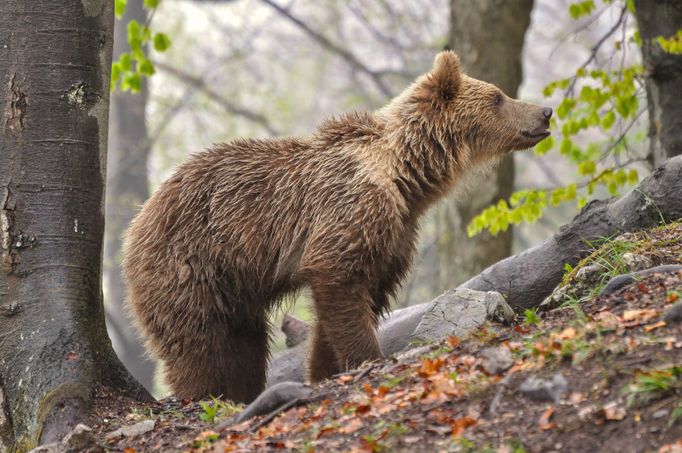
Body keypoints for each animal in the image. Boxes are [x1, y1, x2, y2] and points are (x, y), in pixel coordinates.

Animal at [121, 50, 548, 402]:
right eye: (497, 96)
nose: (545, 112)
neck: (405, 177)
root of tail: (136, 222)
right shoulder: (350, 208)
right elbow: (339, 282)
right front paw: (368, 358)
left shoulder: (395, 233)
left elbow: (358, 297)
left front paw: (324, 369)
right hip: (191, 263)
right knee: (201, 342)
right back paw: (206, 393)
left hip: (233, 288)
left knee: (244, 343)